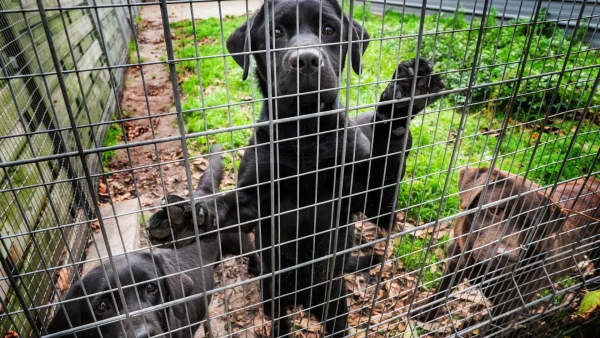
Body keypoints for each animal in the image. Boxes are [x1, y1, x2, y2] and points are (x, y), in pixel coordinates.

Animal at [412, 168, 600, 334]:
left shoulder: (508, 308)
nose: (506, 255)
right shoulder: (455, 263)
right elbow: (440, 294)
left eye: (530, 226)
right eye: (494, 210)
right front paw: (423, 315)